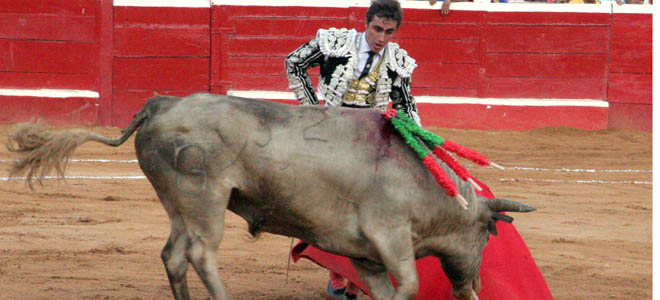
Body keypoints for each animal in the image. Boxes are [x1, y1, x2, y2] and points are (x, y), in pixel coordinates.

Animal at [9, 94, 536, 300]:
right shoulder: (390, 235)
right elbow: (406, 285)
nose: (473, 285)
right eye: (487, 235)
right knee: (201, 253)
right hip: (205, 198)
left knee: (173, 253)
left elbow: (387, 290)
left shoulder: (364, 254)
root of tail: (161, 105)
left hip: (179, 203)